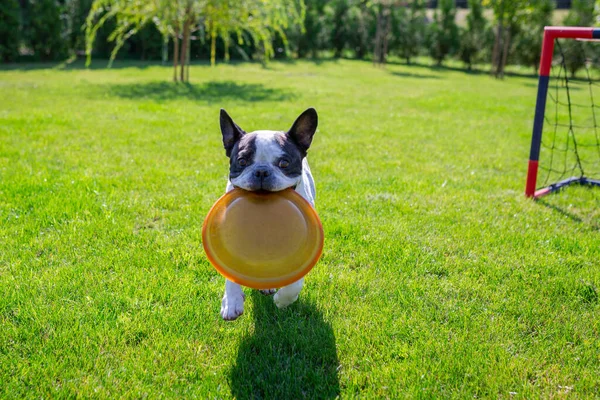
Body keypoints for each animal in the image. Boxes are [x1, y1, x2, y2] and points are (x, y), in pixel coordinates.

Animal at [217, 108, 318, 320]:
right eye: (242, 161)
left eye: (284, 163)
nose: (262, 171)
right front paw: (232, 300)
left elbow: (295, 281)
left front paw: (284, 300)